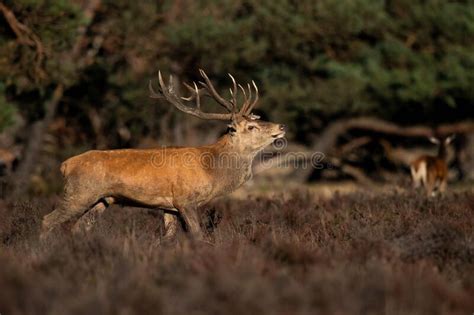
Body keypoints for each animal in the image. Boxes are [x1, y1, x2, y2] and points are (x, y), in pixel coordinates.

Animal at [41, 69, 286, 239]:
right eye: (251, 127)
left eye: (256, 120)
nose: (281, 126)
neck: (212, 170)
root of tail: (65, 164)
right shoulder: (185, 200)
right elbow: (197, 236)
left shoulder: (169, 207)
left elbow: (167, 238)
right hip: (79, 192)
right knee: (47, 220)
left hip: (102, 199)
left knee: (78, 227)